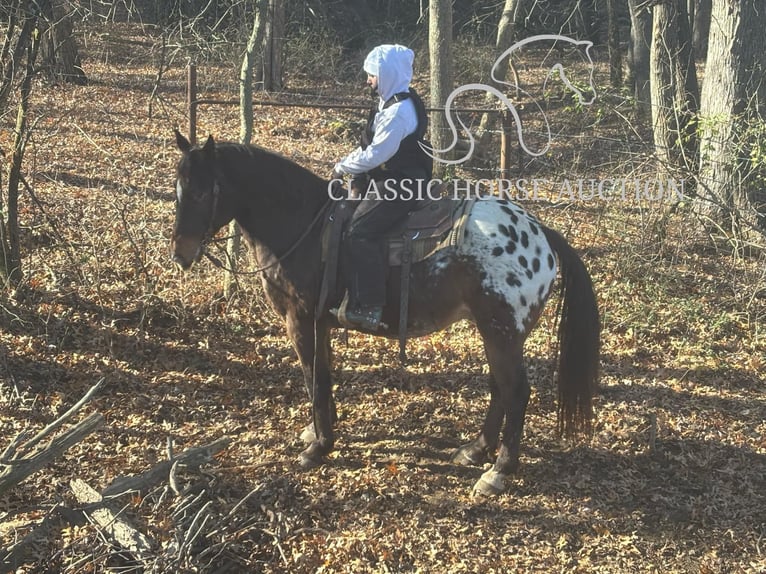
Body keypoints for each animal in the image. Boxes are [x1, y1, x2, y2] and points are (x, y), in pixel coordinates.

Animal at [170, 129, 600, 496]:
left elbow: (314, 378)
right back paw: (475, 450)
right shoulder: (320, 323)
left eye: (203, 191)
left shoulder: (300, 320)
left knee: (516, 392)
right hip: (495, 332)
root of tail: (541, 233)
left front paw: (319, 447)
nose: (180, 255)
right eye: (178, 189)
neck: (302, 224)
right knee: (500, 389)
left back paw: (498, 471)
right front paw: (320, 432)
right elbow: (322, 377)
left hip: (502, 332)